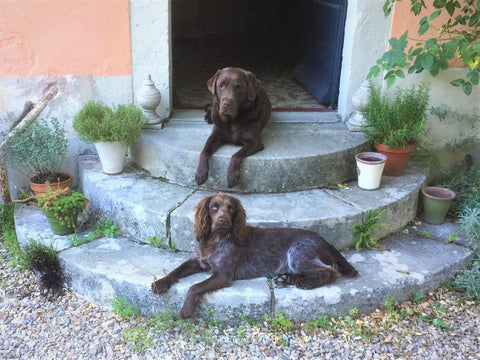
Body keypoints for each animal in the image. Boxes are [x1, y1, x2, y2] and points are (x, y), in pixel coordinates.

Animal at [152, 194, 358, 318]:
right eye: (214, 207)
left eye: (231, 209)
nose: (223, 221)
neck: (215, 240)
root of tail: (323, 239)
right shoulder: (197, 261)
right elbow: (175, 271)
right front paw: (160, 283)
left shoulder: (222, 275)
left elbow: (194, 287)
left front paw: (186, 309)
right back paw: (286, 278)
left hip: (297, 253)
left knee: (329, 272)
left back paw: (305, 283)